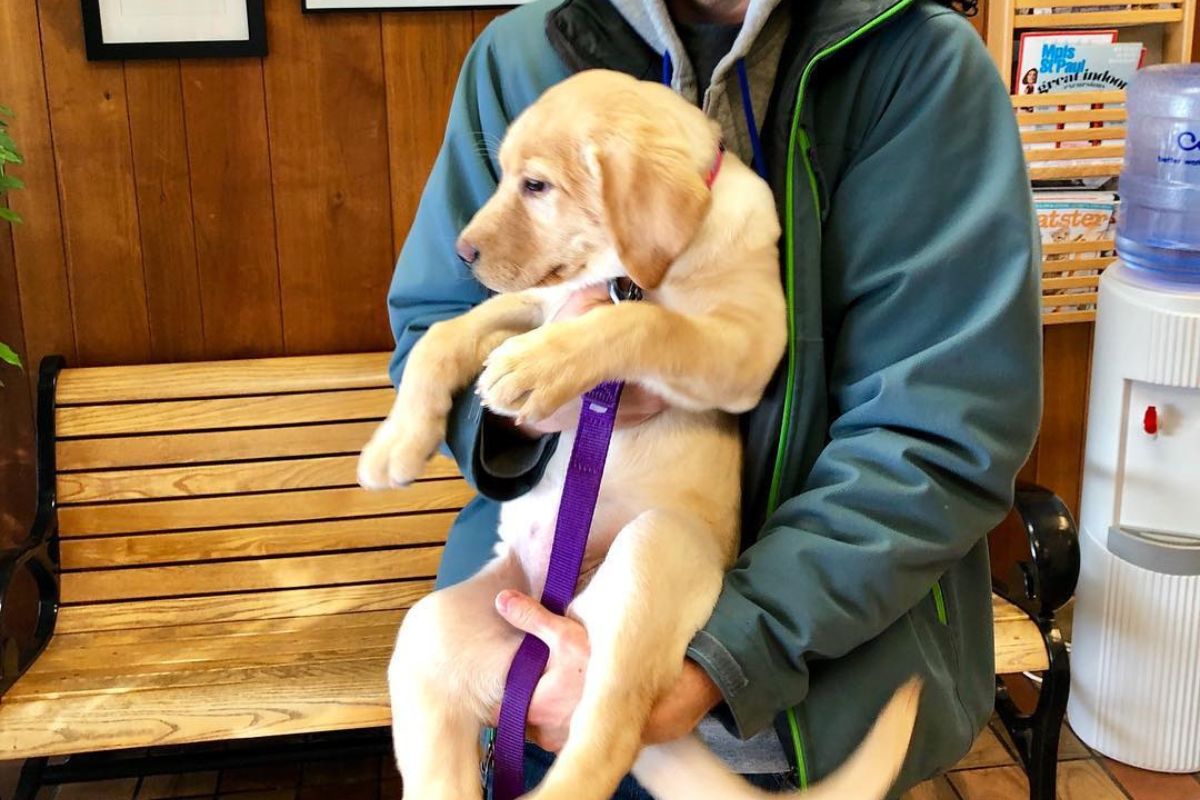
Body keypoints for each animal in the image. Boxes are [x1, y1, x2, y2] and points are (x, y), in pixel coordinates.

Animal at [355, 70, 916, 800]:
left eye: (536, 186)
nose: (462, 252)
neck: (626, 273)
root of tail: (559, 620)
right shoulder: (540, 302)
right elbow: (448, 335)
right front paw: (395, 444)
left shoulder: (747, 342)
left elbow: (642, 324)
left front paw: (536, 367)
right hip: (433, 636)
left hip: (651, 555)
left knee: (608, 738)